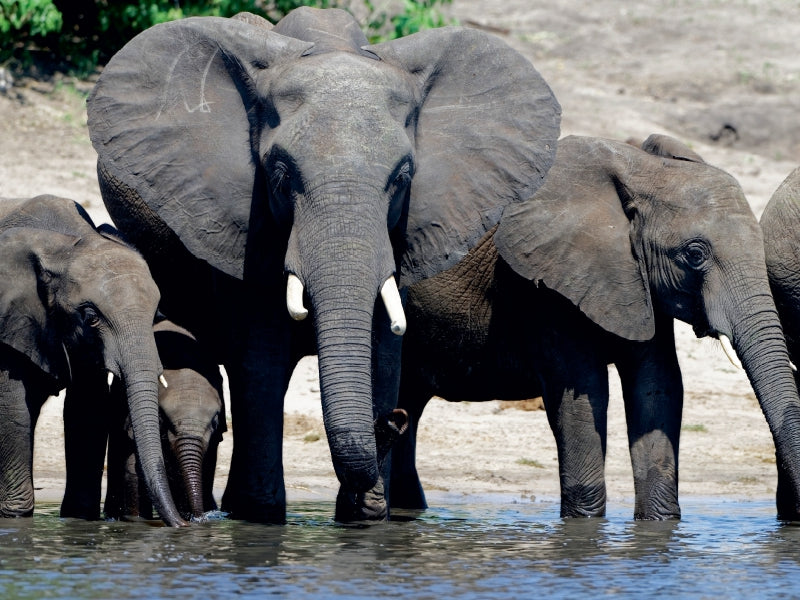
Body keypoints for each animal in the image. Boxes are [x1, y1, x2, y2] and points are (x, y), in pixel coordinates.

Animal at [0, 195, 184, 524]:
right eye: (90, 317)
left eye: (156, 314)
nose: (185, 523)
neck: (66, 246)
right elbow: (13, 408)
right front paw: (16, 517)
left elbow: (87, 410)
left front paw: (79, 519)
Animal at [104, 318, 227, 520]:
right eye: (163, 418)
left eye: (215, 422)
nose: (197, 518)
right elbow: (133, 467)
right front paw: (136, 520)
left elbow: (206, 466)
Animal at [390, 135, 800, 520]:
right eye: (694, 254)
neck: (643, 170)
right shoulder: (549, 286)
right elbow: (585, 390)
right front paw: (583, 527)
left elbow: (658, 385)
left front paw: (658, 525)